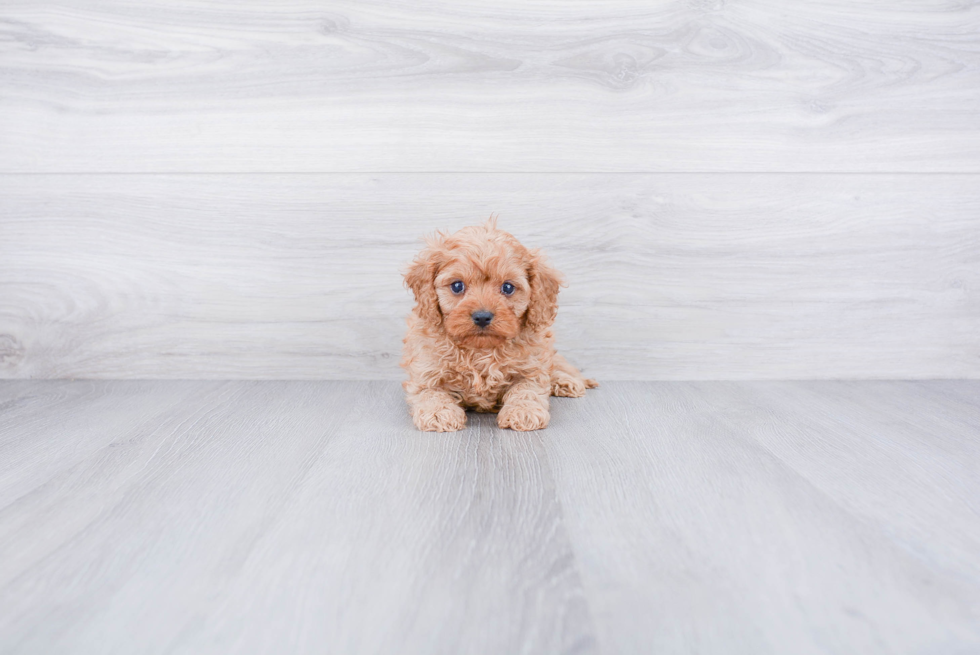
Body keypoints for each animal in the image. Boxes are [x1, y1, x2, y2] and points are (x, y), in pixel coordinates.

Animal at [400, 218, 596, 434]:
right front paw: (438, 413)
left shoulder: (531, 367)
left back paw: (566, 382)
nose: (482, 317)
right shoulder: (426, 371)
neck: (480, 350)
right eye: (457, 286)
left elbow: (526, 389)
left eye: (508, 287)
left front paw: (523, 411)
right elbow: (430, 392)